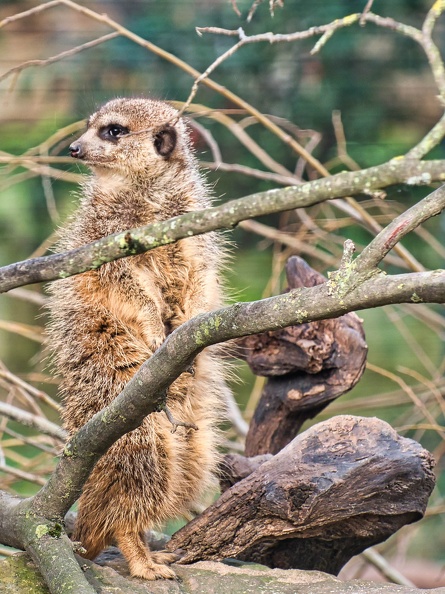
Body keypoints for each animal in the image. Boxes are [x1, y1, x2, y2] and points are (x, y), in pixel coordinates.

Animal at [47, 98, 229, 580]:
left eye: (113, 131)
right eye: (89, 127)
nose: (73, 148)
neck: (147, 195)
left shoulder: (195, 226)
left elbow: (201, 273)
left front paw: (192, 316)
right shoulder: (102, 238)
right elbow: (123, 281)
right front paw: (151, 324)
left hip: (197, 442)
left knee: (185, 469)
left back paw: (151, 550)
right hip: (123, 405)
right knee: (138, 473)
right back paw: (140, 558)